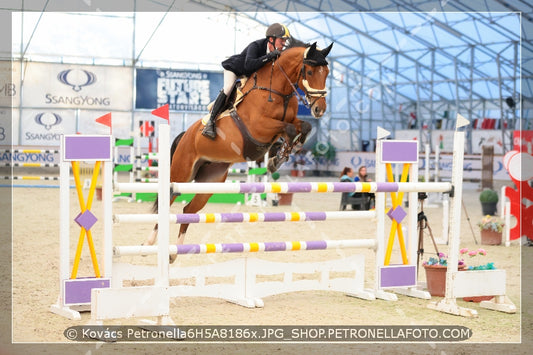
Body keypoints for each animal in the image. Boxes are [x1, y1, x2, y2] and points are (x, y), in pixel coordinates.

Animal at [143, 40, 330, 262]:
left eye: (327, 73)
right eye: (309, 72)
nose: (320, 109)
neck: (279, 90)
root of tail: (184, 135)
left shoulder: (288, 122)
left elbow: (303, 127)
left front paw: (280, 156)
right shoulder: (258, 127)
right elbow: (290, 128)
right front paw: (278, 157)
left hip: (210, 181)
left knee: (188, 209)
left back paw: (174, 253)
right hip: (182, 173)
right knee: (168, 200)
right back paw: (149, 244)